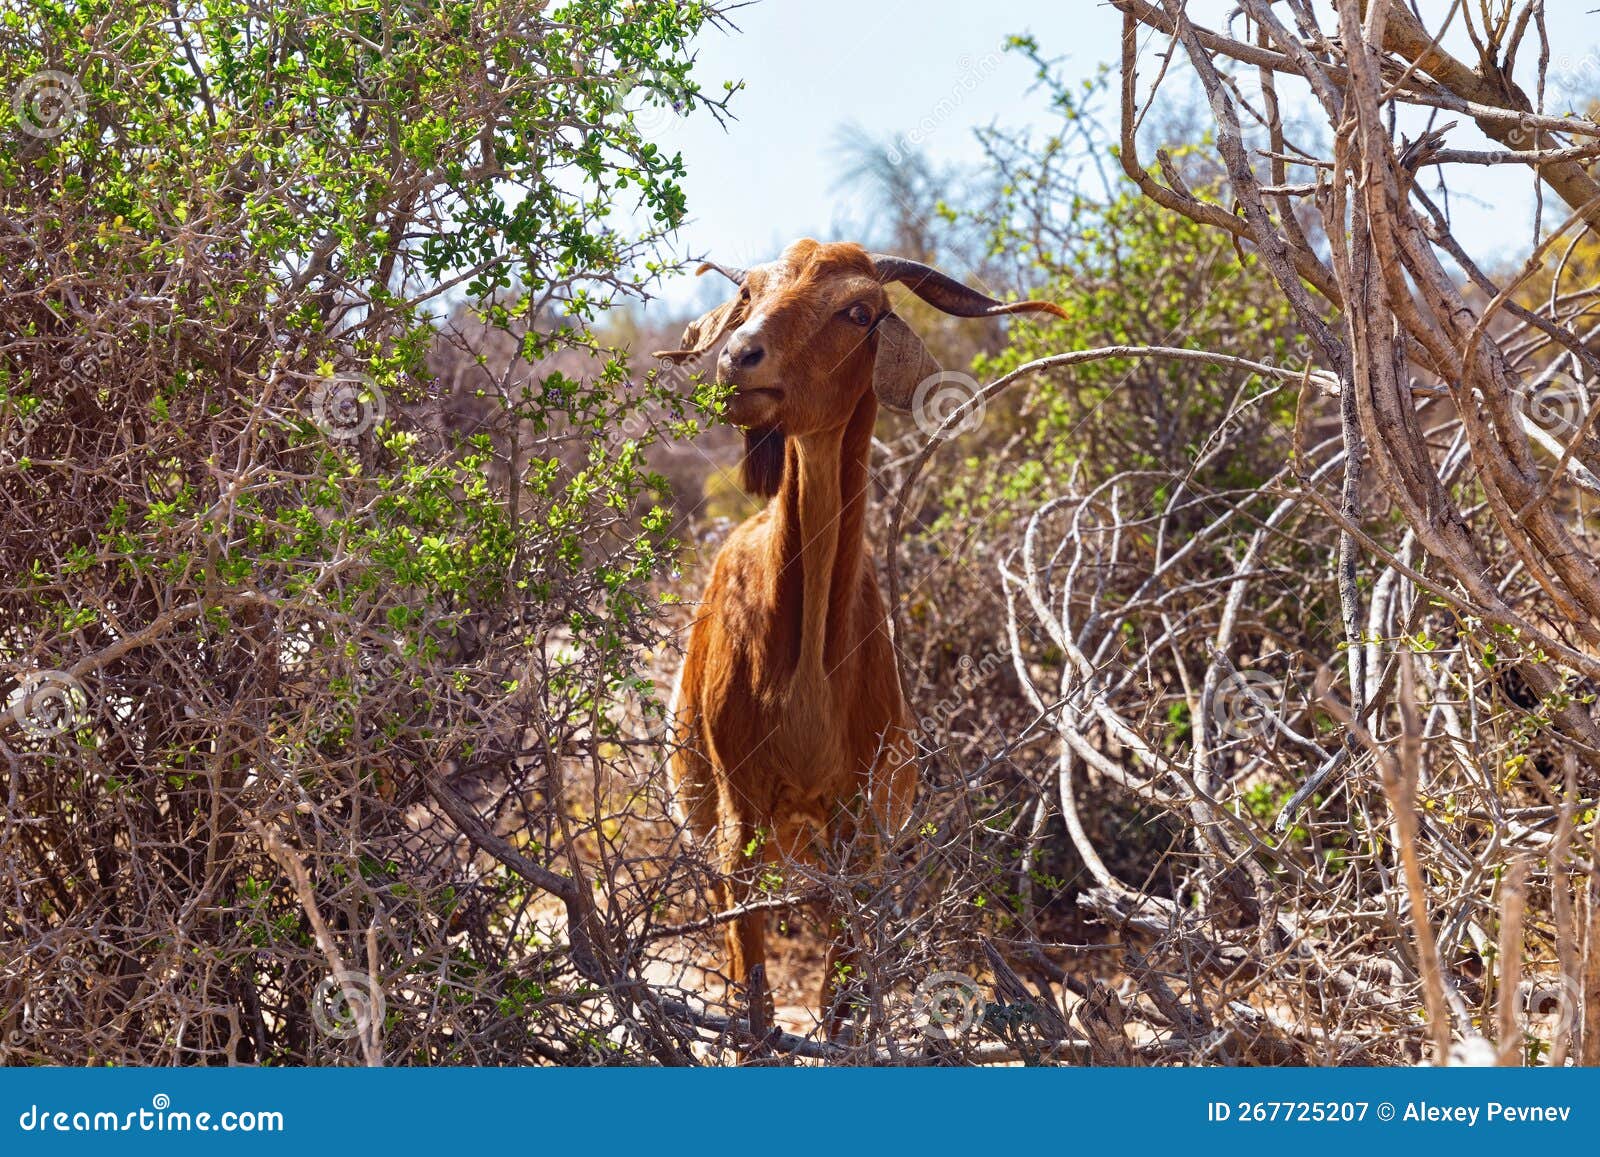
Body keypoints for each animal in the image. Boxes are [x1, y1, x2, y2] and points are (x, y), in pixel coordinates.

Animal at [656, 239, 1065, 1031]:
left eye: (858, 309)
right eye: (749, 292)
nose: (740, 358)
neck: (807, 674)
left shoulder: (857, 827)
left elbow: (839, 998)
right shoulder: (738, 813)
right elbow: (753, 999)